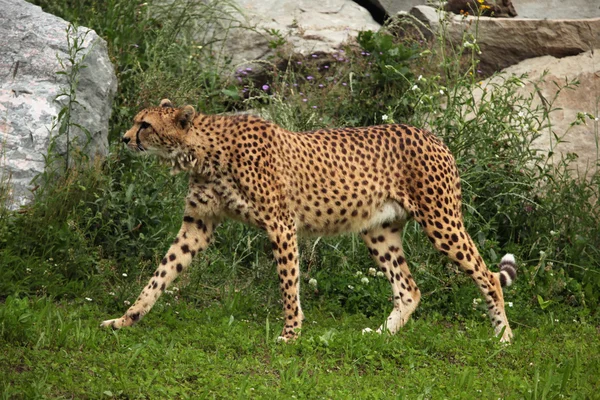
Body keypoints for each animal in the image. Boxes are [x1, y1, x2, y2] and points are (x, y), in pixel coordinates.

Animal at [101, 98, 516, 342]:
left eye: (145, 125)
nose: (124, 138)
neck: (202, 150)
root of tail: (433, 136)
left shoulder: (281, 224)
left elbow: (289, 285)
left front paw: (290, 333)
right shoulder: (197, 226)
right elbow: (160, 275)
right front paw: (125, 320)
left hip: (441, 222)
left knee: (487, 275)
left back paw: (503, 339)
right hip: (378, 231)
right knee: (408, 288)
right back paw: (380, 334)